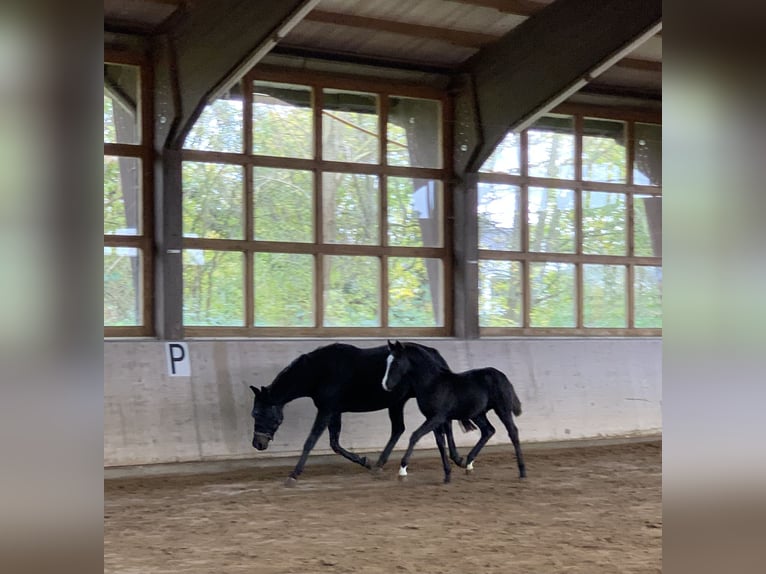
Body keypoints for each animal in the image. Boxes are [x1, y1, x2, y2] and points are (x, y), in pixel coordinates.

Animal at [252, 342, 472, 486]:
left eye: (258, 413)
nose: (258, 444)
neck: (320, 371)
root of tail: (434, 353)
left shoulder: (326, 410)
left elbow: (311, 440)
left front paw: (294, 474)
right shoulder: (335, 411)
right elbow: (335, 443)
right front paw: (365, 461)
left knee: (442, 426)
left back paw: (458, 460)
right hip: (397, 403)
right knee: (400, 429)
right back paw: (379, 465)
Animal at [384, 342, 528, 486]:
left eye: (396, 362)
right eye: (387, 361)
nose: (386, 385)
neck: (433, 383)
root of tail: (502, 375)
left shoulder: (437, 417)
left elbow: (415, 436)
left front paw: (402, 470)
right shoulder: (433, 419)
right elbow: (440, 444)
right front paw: (447, 475)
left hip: (502, 409)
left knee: (513, 432)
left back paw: (522, 472)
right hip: (478, 414)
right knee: (488, 431)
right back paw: (468, 463)